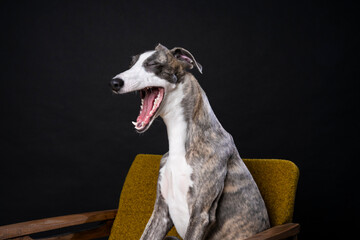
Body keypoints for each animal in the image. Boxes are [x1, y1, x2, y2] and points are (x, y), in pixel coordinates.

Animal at [110, 44, 270, 239]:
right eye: (131, 64)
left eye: (153, 64)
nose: (114, 83)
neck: (181, 144)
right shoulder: (161, 212)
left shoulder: (201, 214)